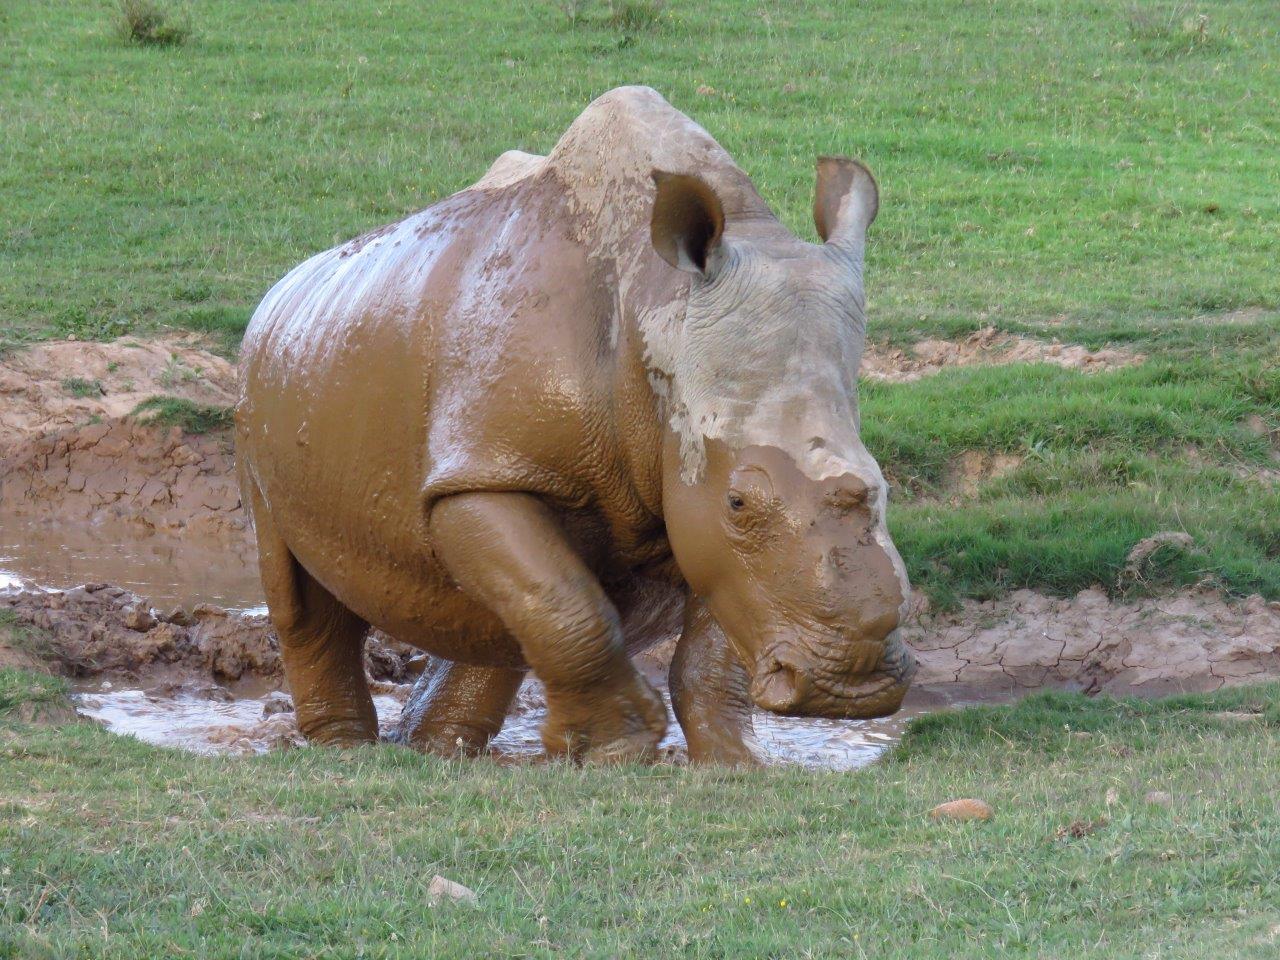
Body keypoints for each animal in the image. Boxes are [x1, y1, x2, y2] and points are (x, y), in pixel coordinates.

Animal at [240, 88, 916, 768]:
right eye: (739, 501)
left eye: (882, 487)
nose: (849, 686)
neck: (656, 300)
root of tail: (280, 292)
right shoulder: (488, 468)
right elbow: (569, 605)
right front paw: (617, 748)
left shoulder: (701, 503)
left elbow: (706, 633)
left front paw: (734, 765)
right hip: (263, 385)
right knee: (301, 596)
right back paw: (344, 753)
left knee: (501, 612)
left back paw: (436, 751)